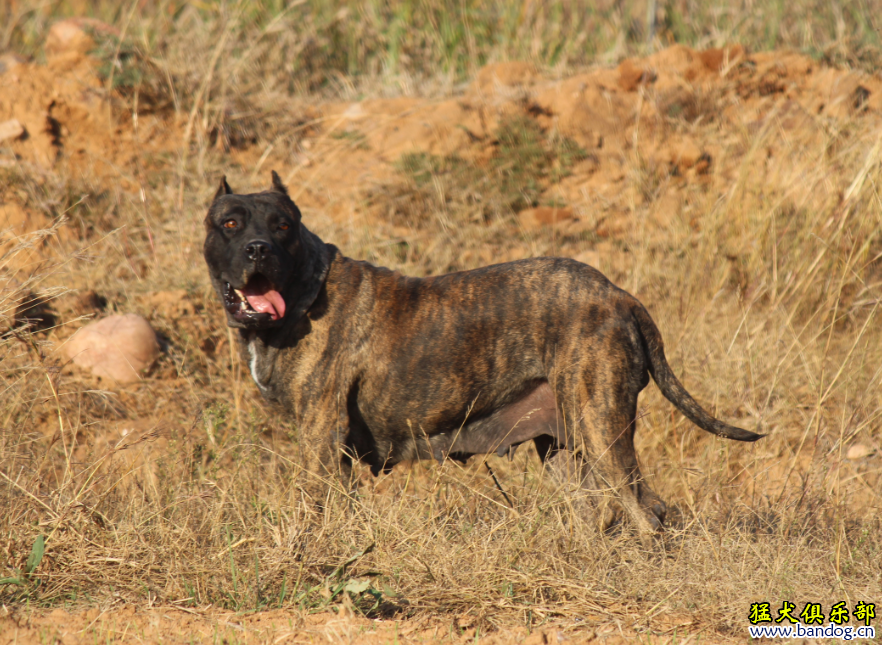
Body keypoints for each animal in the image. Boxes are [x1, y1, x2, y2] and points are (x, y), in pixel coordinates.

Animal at [203, 171, 760, 532]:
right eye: (230, 223)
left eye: (282, 225)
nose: (257, 248)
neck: (304, 290)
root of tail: (618, 295)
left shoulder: (321, 435)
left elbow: (314, 506)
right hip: (566, 450)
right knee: (607, 511)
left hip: (602, 429)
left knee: (647, 511)